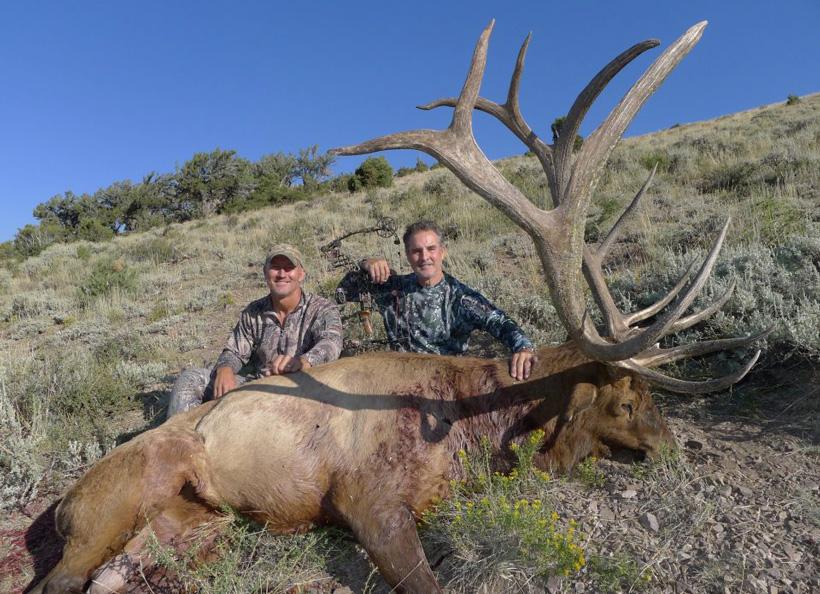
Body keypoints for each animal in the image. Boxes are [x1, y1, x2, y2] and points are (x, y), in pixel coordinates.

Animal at [31, 20, 768, 594]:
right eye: (627, 401)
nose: (674, 451)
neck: (479, 429)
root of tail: (61, 502)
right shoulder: (365, 498)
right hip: (118, 504)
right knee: (60, 578)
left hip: (192, 528)